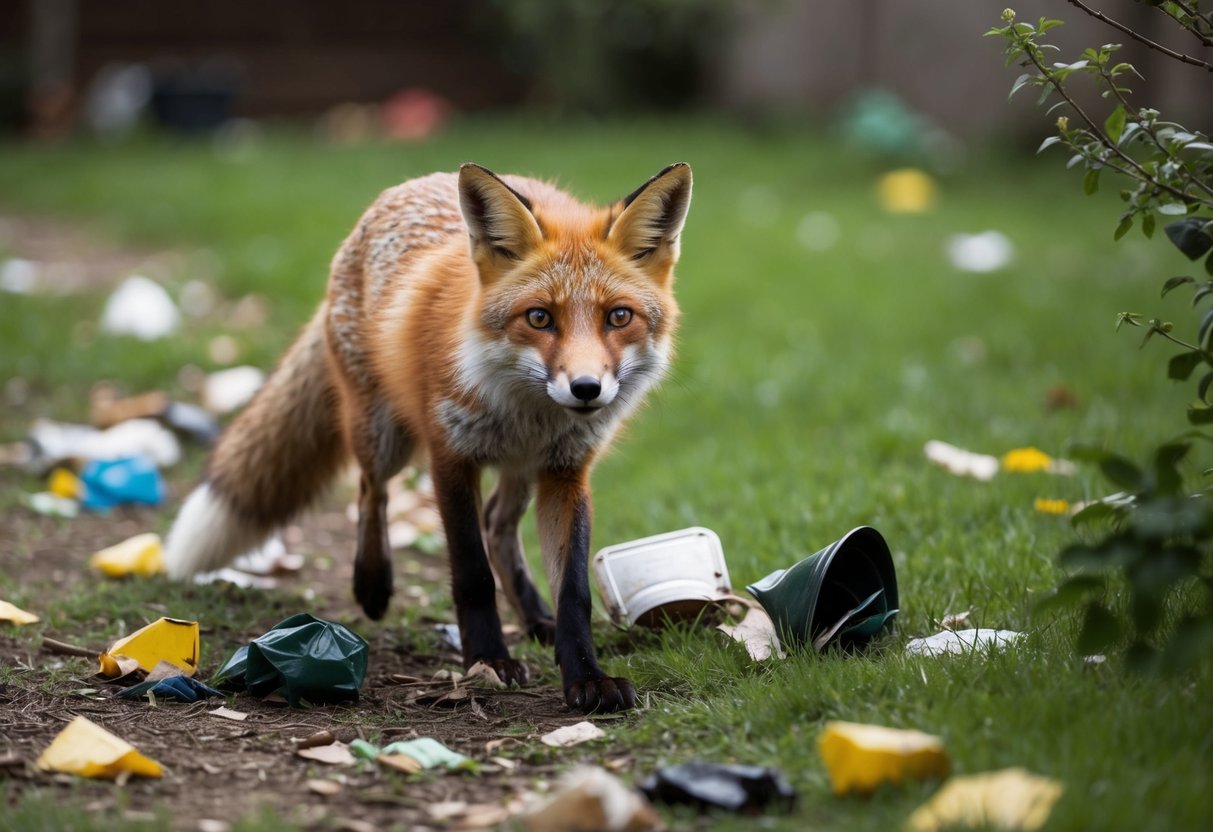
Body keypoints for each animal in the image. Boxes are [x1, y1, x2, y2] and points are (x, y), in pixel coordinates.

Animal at [163, 162, 693, 713]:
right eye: (539, 317)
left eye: (619, 316)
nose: (586, 389)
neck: (527, 410)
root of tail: (412, 182)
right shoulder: (450, 456)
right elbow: (472, 574)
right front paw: (488, 661)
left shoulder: (566, 472)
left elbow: (573, 593)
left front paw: (586, 676)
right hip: (382, 435)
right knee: (371, 491)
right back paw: (373, 584)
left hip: (521, 469)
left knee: (498, 524)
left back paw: (534, 618)